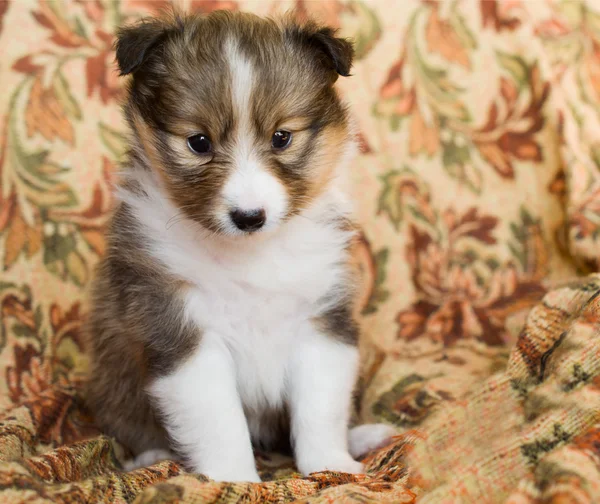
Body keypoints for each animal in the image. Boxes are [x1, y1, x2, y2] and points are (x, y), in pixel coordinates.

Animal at [85, 9, 394, 482]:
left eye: (282, 137)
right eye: (198, 142)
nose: (249, 217)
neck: (250, 256)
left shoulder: (321, 318)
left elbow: (319, 409)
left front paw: (332, 465)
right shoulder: (181, 331)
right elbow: (218, 422)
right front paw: (234, 481)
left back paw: (365, 436)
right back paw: (150, 458)